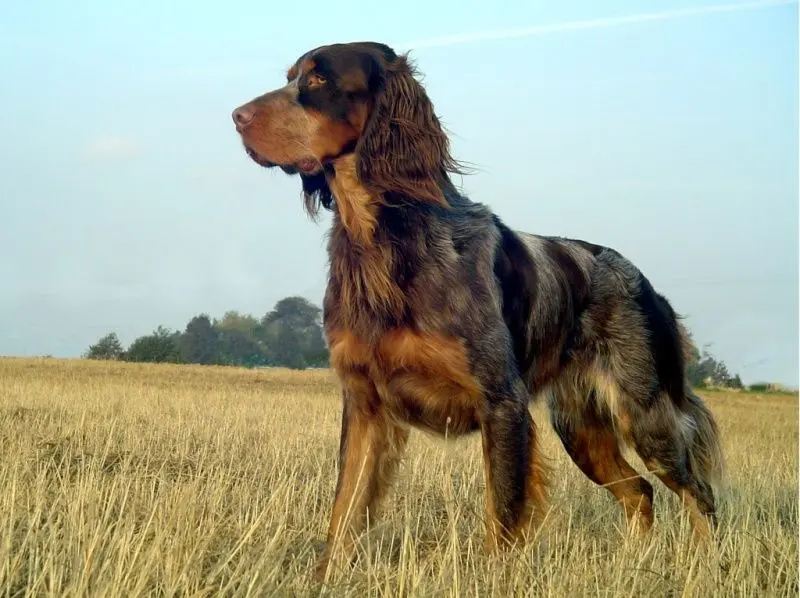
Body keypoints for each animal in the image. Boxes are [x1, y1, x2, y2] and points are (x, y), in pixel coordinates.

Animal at [231, 41, 725, 579]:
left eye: (319, 79)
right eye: (291, 77)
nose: (236, 116)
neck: (383, 238)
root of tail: (648, 285)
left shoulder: (502, 403)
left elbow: (502, 517)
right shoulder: (365, 404)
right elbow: (343, 511)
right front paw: (325, 578)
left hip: (645, 413)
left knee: (699, 495)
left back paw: (706, 568)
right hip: (580, 427)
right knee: (639, 492)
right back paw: (633, 566)